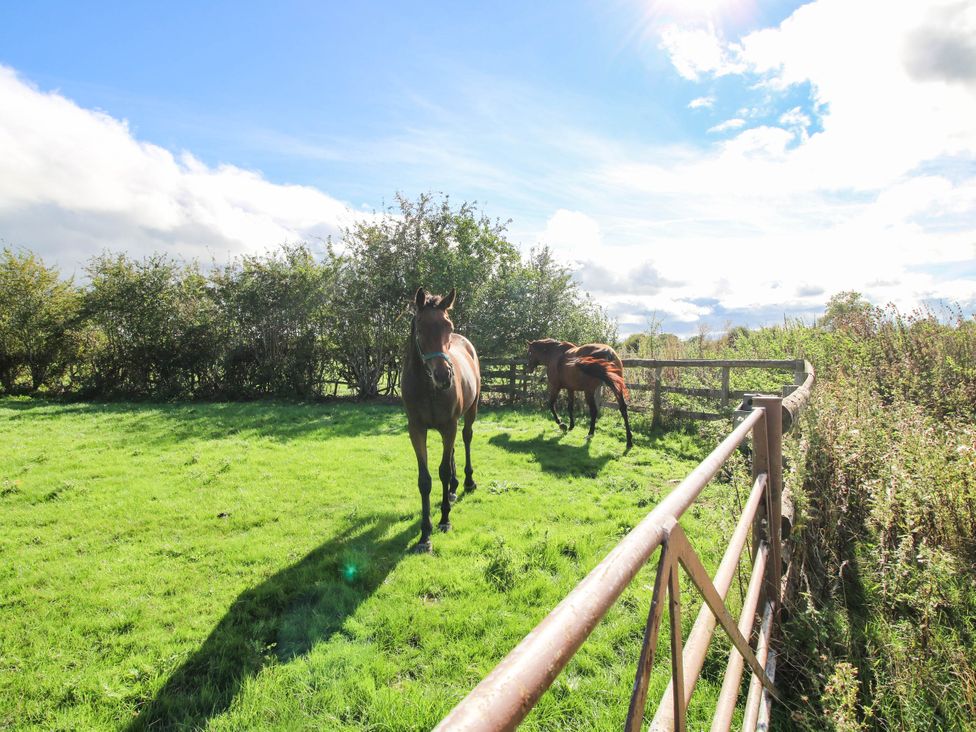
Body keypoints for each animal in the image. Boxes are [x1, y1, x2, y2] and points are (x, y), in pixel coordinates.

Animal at [401, 287, 481, 553]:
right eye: (421, 328)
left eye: (448, 326)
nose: (444, 376)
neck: (428, 388)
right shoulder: (416, 430)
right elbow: (425, 480)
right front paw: (424, 536)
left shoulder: (449, 426)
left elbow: (443, 471)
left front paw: (445, 519)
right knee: (454, 448)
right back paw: (454, 489)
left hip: (470, 412)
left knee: (466, 439)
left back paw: (467, 482)